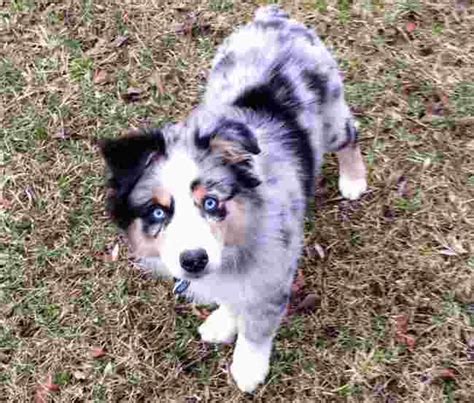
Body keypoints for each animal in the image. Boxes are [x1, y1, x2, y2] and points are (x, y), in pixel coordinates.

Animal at [99, 4, 366, 392]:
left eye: (211, 202)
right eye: (158, 212)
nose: (193, 261)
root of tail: (275, 18)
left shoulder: (273, 275)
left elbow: (257, 325)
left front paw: (249, 367)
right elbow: (230, 298)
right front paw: (223, 322)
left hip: (331, 115)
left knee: (351, 134)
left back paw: (353, 179)